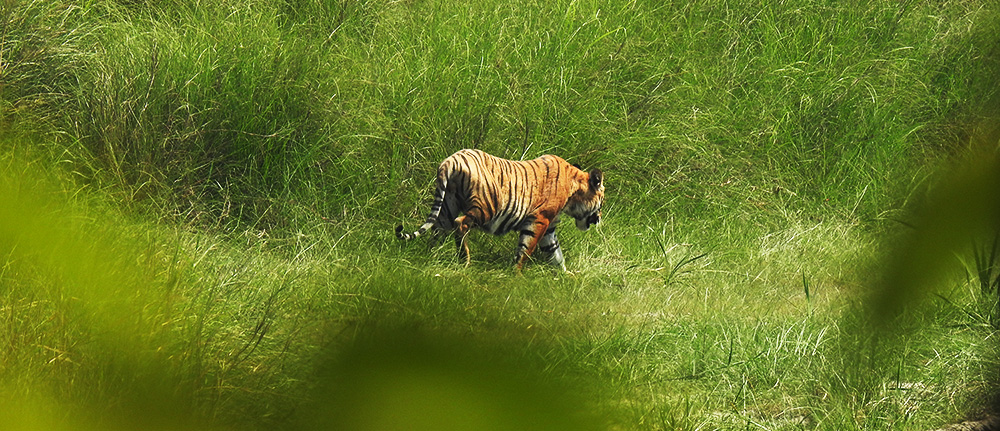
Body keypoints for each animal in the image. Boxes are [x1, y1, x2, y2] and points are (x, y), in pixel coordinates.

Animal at [396, 148, 600, 270]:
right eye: (602, 202)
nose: (598, 219)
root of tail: (450, 161)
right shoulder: (540, 219)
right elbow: (527, 247)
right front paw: (516, 273)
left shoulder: (549, 227)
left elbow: (555, 252)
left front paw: (566, 277)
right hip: (487, 207)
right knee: (460, 224)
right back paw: (464, 260)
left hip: (447, 205)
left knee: (438, 230)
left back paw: (431, 257)